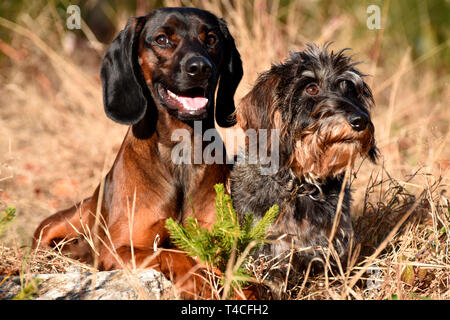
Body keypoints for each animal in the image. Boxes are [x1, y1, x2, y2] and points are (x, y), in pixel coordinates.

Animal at [32, 6, 243, 298]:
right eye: (162, 39)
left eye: (211, 39)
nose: (200, 67)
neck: (179, 152)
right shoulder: (118, 249)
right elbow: (172, 254)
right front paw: (198, 281)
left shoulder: (218, 242)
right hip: (61, 224)